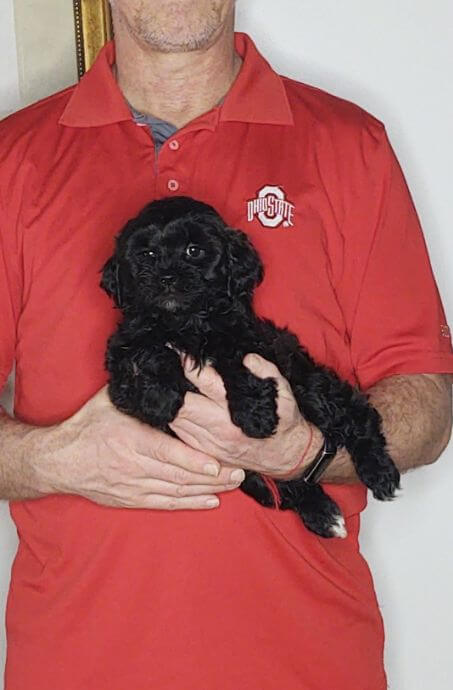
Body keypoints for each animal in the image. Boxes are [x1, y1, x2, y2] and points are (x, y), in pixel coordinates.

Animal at [100, 196, 398, 536]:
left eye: (194, 250)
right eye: (146, 254)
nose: (167, 278)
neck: (185, 323)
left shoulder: (250, 342)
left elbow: (237, 366)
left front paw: (254, 416)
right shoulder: (123, 355)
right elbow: (148, 350)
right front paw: (158, 397)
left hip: (310, 384)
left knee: (356, 416)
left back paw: (379, 471)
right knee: (289, 485)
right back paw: (322, 513)